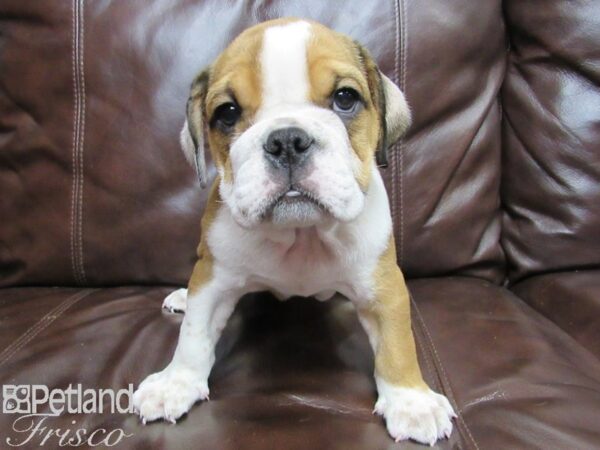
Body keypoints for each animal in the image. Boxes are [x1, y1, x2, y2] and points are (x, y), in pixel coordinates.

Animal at [132, 19, 454, 444]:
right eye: (227, 113)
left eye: (345, 98)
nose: (287, 140)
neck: (303, 235)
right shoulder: (214, 279)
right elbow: (193, 334)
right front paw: (176, 382)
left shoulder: (384, 285)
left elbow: (397, 343)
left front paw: (411, 400)